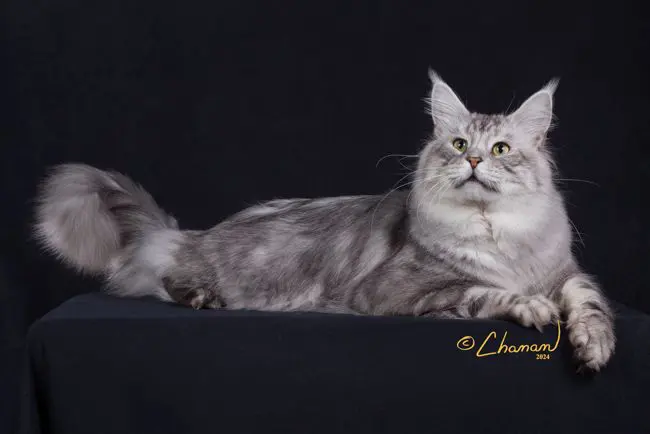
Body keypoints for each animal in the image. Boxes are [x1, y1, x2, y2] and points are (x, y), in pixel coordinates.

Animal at [34, 70, 612, 370]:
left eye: (500, 149)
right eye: (457, 144)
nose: (472, 161)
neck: (494, 234)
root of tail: (195, 234)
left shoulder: (562, 269)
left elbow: (589, 299)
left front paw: (594, 344)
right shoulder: (400, 288)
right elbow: (482, 291)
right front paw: (530, 307)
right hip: (215, 269)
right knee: (169, 277)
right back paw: (201, 296)